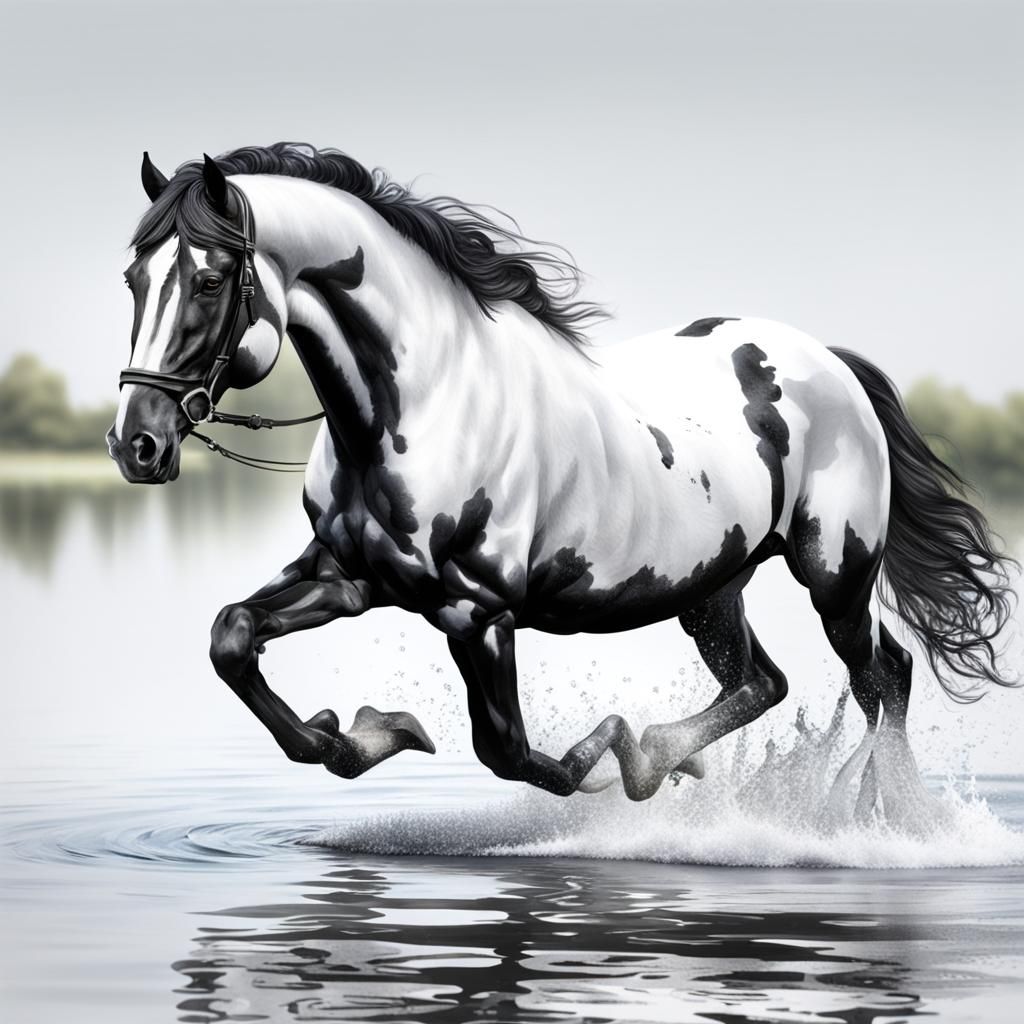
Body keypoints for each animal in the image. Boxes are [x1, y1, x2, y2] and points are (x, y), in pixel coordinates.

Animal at [107, 142, 1016, 810]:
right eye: (134, 278)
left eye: (209, 280)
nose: (135, 444)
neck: (426, 401)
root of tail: (829, 362)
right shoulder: (348, 575)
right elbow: (232, 637)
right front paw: (362, 730)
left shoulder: (476, 612)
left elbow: (508, 752)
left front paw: (604, 752)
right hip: (710, 588)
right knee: (766, 681)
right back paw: (677, 761)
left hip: (834, 577)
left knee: (883, 679)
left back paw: (878, 818)